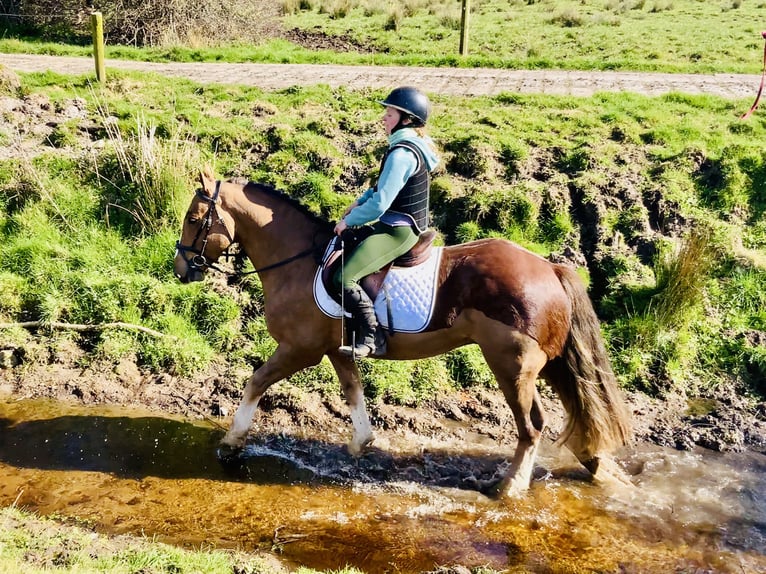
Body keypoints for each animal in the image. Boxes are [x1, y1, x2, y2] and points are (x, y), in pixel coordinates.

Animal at [177, 168, 632, 500]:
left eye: (194, 220)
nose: (182, 269)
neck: (298, 261)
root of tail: (549, 268)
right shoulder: (337, 349)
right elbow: (353, 391)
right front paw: (362, 443)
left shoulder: (299, 349)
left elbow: (256, 382)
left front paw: (231, 444)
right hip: (548, 363)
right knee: (580, 410)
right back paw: (597, 465)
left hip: (512, 366)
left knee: (533, 425)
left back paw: (509, 487)